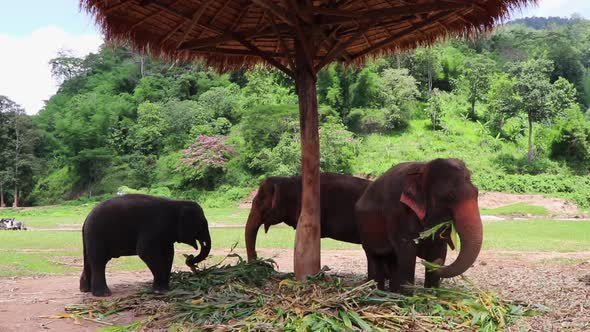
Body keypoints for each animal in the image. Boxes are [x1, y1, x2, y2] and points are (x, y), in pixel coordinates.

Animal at [80, 193, 212, 296]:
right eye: (201, 225)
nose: (190, 258)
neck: (177, 203)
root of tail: (85, 219)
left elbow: (168, 254)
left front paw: (165, 289)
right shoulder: (153, 227)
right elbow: (145, 252)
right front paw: (160, 291)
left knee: (90, 261)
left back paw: (85, 290)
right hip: (96, 235)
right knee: (98, 261)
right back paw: (103, 294)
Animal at [356, 158, 486, 290]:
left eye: (477, 193)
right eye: (450, 196)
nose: (436, 264)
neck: (423, 168)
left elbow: (438, 249)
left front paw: (431, 290)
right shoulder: (398, 211)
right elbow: (407, 253)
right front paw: (406, 292)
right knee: (374, 257)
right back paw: (374, 290)